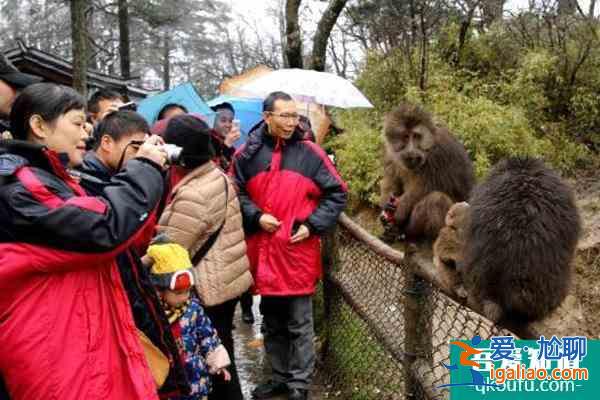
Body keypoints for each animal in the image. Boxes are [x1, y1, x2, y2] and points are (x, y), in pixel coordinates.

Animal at [382, 103, 476, 242]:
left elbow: (424, 188)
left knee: (437, 199)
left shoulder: (439, 153)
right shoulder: (391, 153)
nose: (411, 151)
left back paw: (410, 235)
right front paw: (386, 205)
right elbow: (392, 180)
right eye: (406, 136)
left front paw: (400, 211)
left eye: (416, 136)